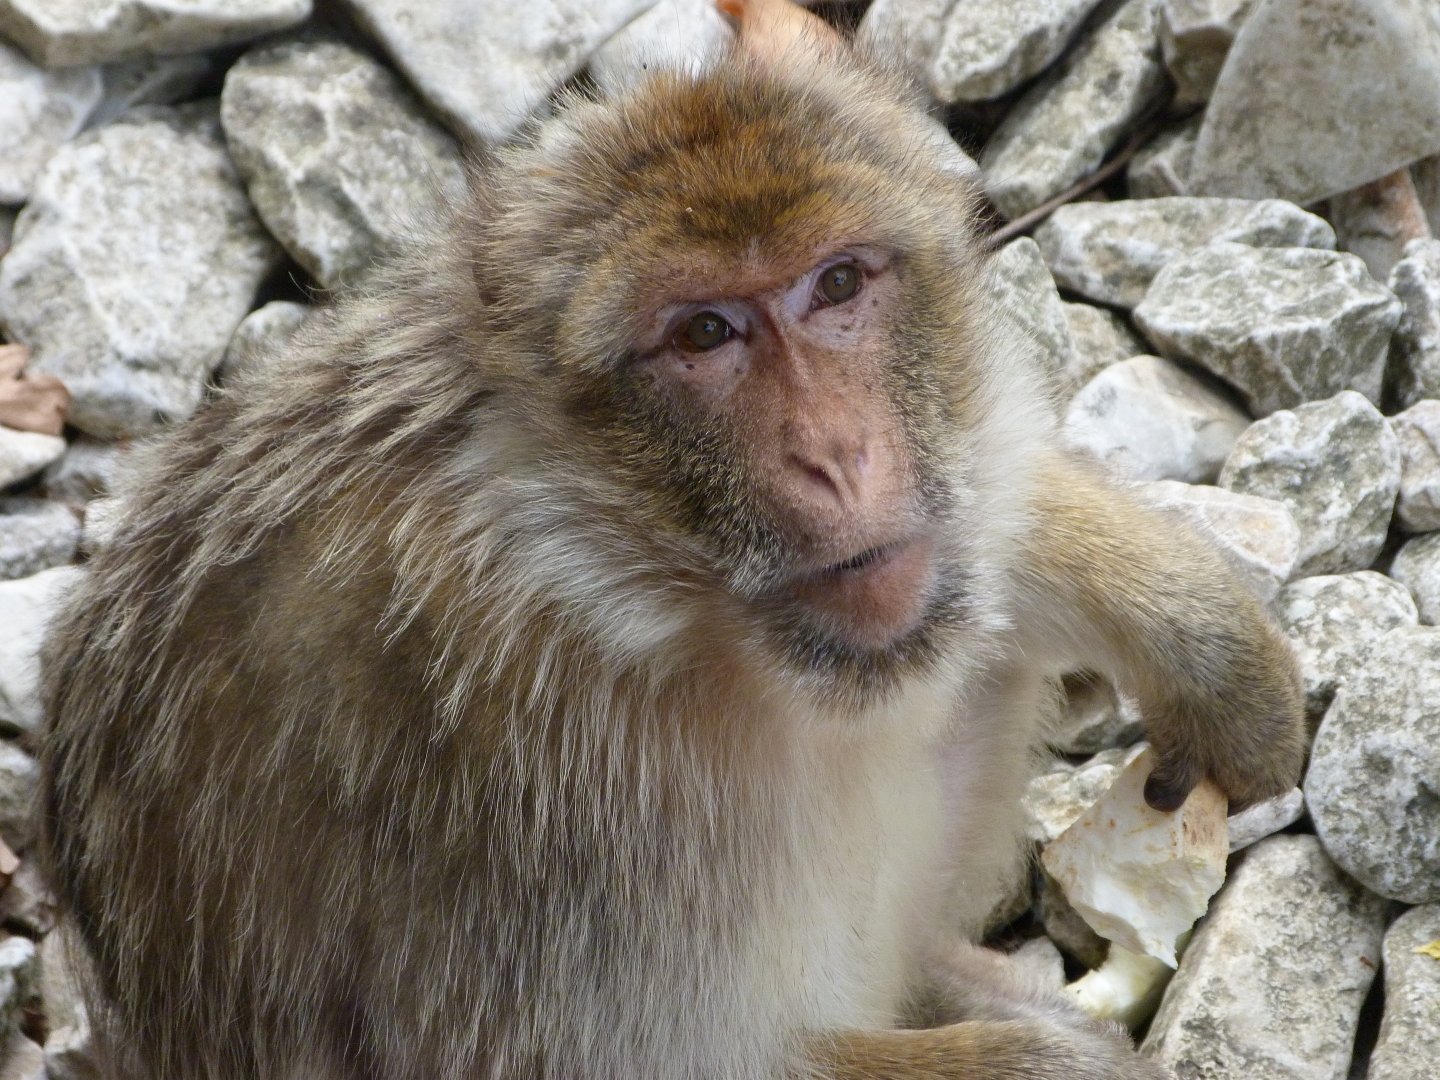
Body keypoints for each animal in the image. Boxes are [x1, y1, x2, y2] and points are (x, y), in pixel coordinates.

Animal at [39, 1, 1304, 1077]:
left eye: (835, 284)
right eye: (705, 333)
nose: (836, 455)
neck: (628, 589)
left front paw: (1194, 632)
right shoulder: (526, 801)